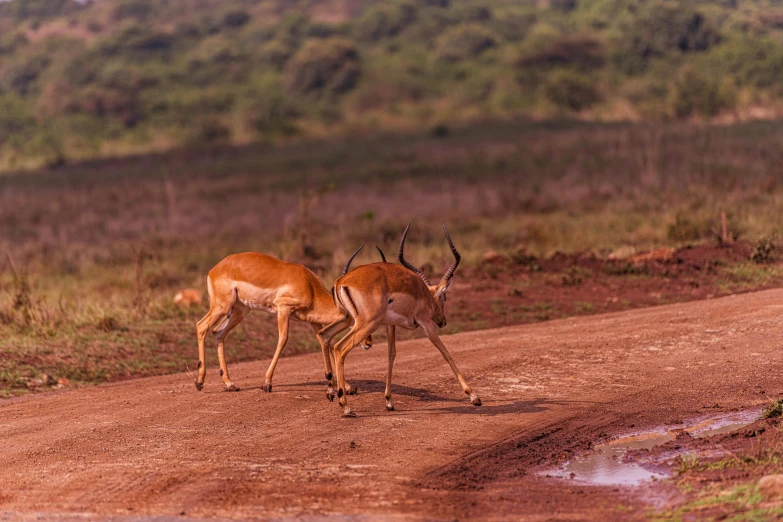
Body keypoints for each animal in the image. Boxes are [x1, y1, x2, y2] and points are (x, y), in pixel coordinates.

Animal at [198, 250, 378, 392]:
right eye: (356, 316)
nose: (368, 343)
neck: (309, 285)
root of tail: (214, 269)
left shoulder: (313, 321)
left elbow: (323, 341)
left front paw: (348, 386)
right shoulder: (283, 309)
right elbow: (283, 340)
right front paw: (267, 384)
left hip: (239, 310)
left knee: (218, 332)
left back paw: (230, 384)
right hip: (221, 307)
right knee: (201, 327)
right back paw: (199, 383)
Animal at [320, 222, 480, 414]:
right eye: (445, 297)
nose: (443, 321)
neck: (424, 294)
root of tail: (341, 281)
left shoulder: (390, 325)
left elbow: (391, 354)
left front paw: (389, 401)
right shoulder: (425, 322)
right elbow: (445, 351)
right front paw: (473, 396)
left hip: (347, 319)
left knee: (324, 335)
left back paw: (331, 392)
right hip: (366, 324)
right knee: (339, 347)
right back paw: (345, 405)